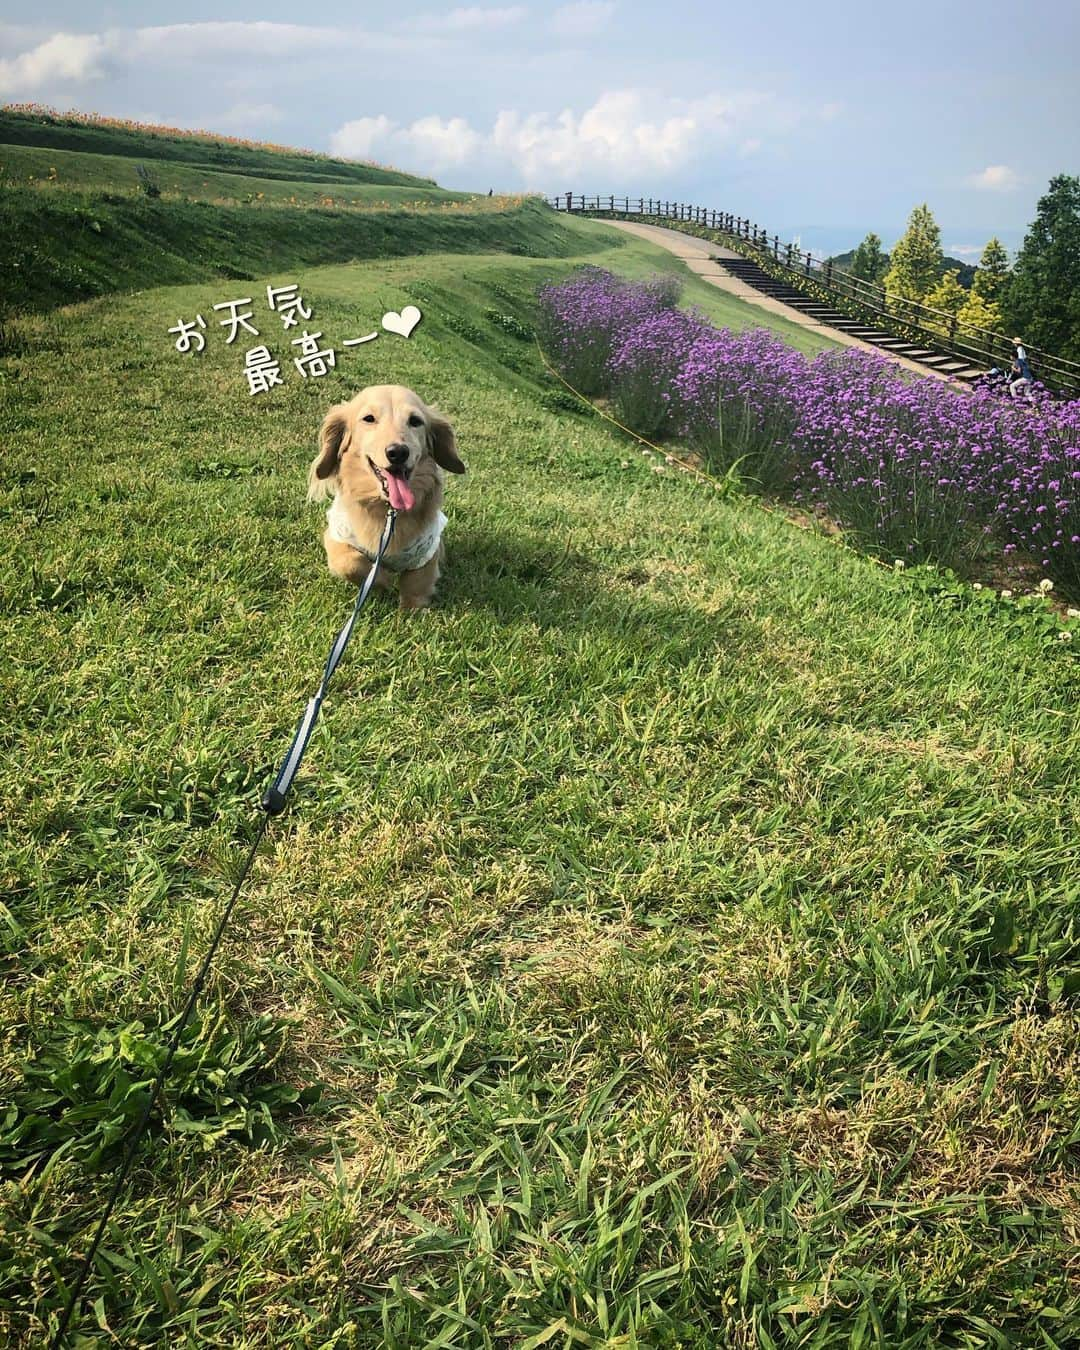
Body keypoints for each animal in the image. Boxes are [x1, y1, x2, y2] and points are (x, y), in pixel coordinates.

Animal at [307, 386, 467, 607]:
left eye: (415, 421)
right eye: (369, 418)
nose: (398, 452)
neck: (389, 510)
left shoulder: (427, 550)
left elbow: (417, 582)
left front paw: (412, 609)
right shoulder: (337, 536)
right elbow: (350, 563)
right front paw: (382, 579)